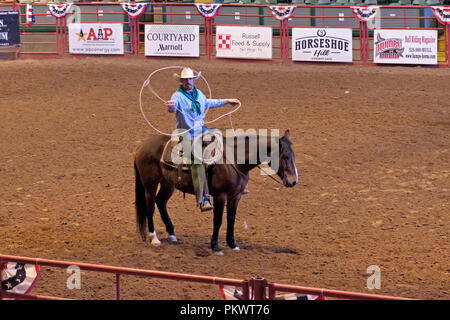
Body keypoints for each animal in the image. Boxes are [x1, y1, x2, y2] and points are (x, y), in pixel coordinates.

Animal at [133, 129, 298, 254]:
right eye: (285, 156)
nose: (293, 181)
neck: (234, 160)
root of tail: (142, 146)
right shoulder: (220, 196)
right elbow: (218, 220)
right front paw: (215, 246)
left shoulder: (235, 196)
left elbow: (231, 218)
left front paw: (232, 244)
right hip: (150, 184)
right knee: (150, 208)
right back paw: (154, 238)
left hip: (168, 183)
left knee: (160, 202)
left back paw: (172, 234)